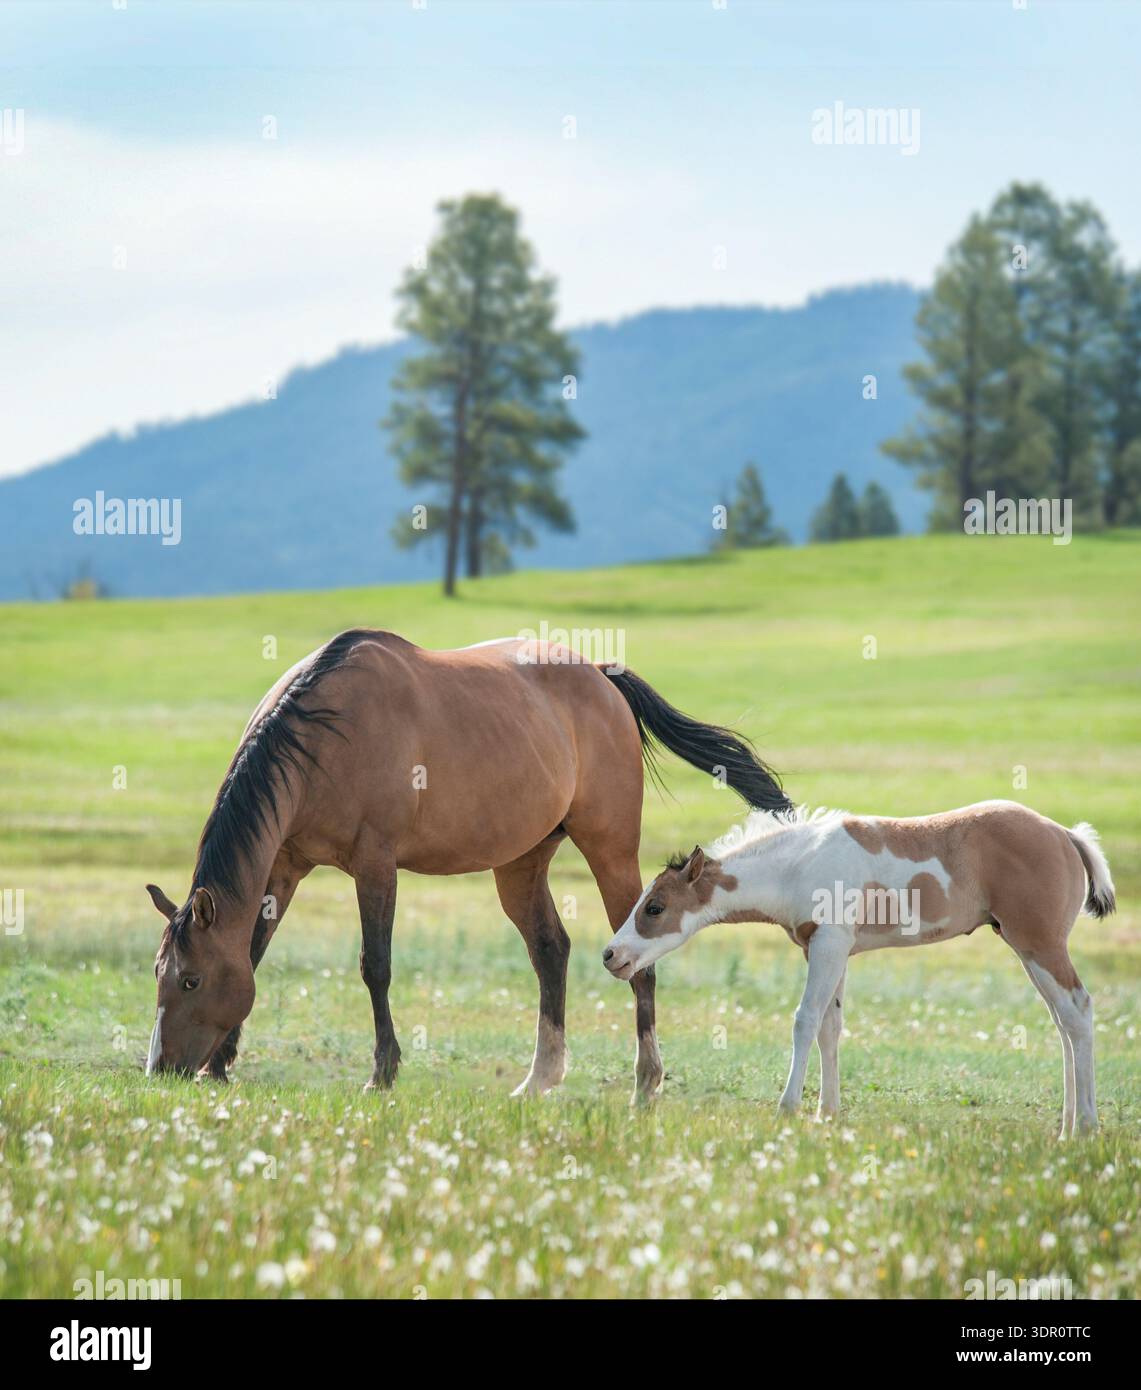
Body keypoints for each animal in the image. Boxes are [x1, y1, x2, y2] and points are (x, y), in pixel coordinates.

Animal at [144, 628, 792, 1100]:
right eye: (159, 973)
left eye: (191, 979)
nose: (161, 1067)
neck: (324, 734)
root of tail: (601, 676)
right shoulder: (284, 865)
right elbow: (253, 951)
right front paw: (220, 1066)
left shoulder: (375, 865)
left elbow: (375, 965)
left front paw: (383, 1072)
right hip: (521, 863)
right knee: (550, 950)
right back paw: (541, 1078)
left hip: (609, 849)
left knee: (638, 959)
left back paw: (646, 1082)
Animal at [602, 800, 1115, 1135]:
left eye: (654, 907)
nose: (612, 955)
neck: (798, 865)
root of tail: (1065, 835)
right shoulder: (829, 950)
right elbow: (830, 1026)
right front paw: (826, 1114)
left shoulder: (830, 943)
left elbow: (805, 1020)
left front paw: (788, 1108)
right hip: (1026, 948)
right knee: (1063, 1023)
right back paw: (1067, 1127)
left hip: (1040, 944)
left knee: (1078, 1011)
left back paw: (1086, 1127)